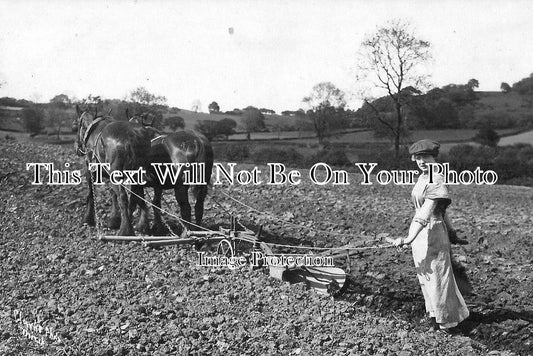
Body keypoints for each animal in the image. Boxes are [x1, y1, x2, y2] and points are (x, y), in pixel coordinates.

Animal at [72, 108, 152, 236]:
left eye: (79, 125)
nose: (76, 147)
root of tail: (132, 135)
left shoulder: (91, 171)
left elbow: (91, 194)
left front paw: (87, 219)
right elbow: (113, 194)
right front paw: (114, 219)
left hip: (117, 174)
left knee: (123, 198)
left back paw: (125, 230)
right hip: (138, 174)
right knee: (138, 195)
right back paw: (142, 225)